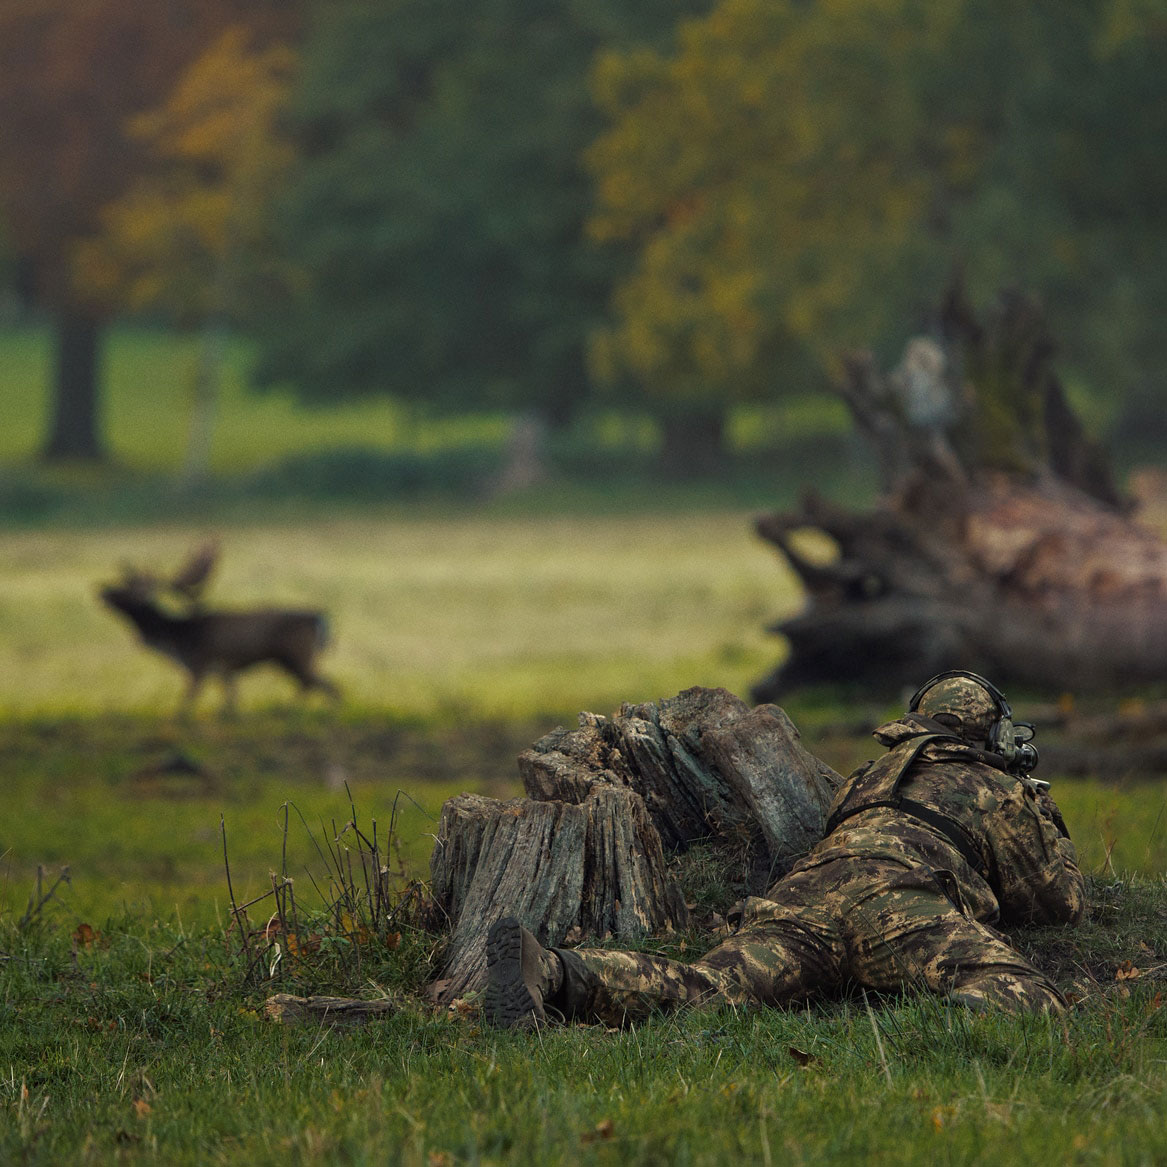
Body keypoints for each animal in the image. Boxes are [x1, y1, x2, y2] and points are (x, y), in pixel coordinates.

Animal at [99, 542, 340, 716]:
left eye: (129, 590)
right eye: (123, 583)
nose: (102, 589)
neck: (176, 639)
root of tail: (320, 618)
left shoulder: (200, 663)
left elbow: (185, 704)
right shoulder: (224, 671)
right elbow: (230, 702)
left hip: (296, 654)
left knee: (324, 685)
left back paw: (293, 710)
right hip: (292, 659)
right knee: (319, 685)